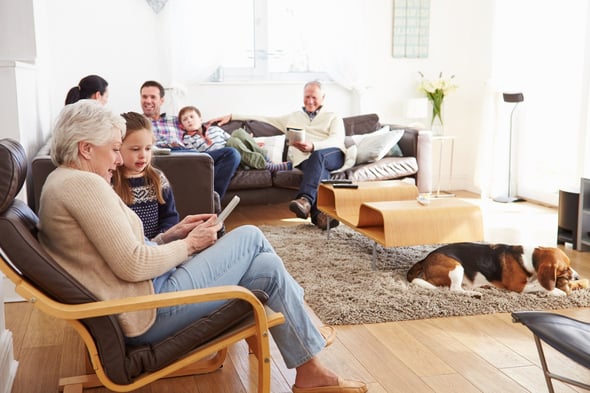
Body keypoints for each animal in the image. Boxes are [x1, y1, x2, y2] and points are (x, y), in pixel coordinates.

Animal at [408, 240, 588, 296]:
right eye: (565, 268)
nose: (578, 277)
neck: (529, 258)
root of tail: (426, 259)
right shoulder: (518, 286)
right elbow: (540, 286)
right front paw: (557, 291)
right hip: (456, 266)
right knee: (455, 290)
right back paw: (473, 293)